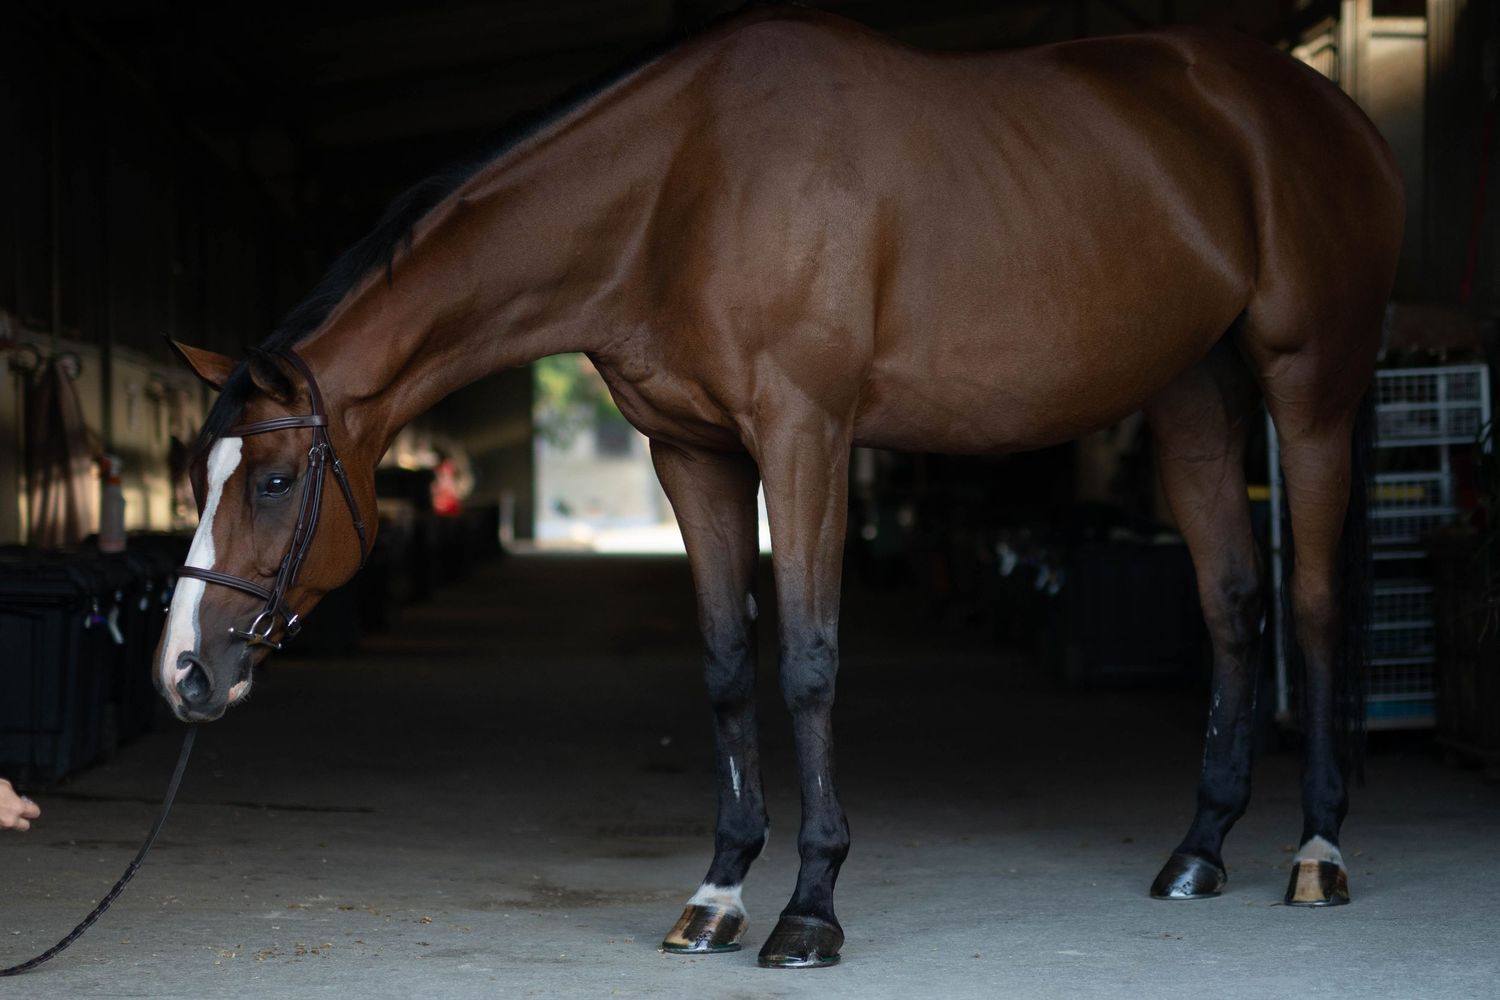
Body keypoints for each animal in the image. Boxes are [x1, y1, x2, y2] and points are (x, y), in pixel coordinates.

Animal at [154, 5, 1402, 969]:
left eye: (274, 479)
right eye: (196, 475)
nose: (183, 675)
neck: (679, 190)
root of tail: (1331, 112)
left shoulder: (805, 438)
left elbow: (806, 659)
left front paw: (810, 910)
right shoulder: (691, 454)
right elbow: (722, 665)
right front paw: (715, 894)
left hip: (1310, 387)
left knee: (1317, 604)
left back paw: (1319, 852)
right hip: (1193, 397)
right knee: (1233, 605)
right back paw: (1199, 851)